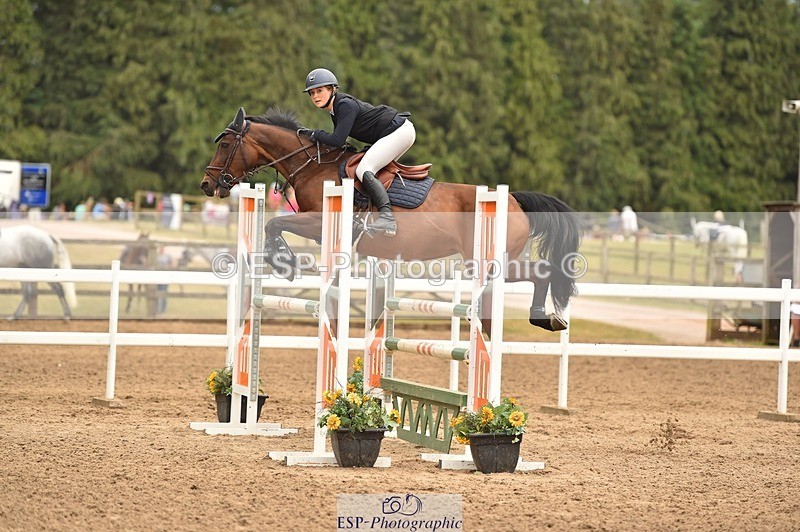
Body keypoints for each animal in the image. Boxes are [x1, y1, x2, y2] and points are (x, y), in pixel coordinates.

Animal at [200, 107, 583, 331]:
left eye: (225, 145)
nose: (207, 184)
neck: (313, 166)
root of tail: (514, 200)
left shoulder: (321, 223)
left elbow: (273, 225)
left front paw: (283, 262)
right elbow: (274, 226)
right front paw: (283, 261)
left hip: (491, 260)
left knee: (540, 272)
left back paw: (543, 318)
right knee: (538, 273)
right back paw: (546, 319)